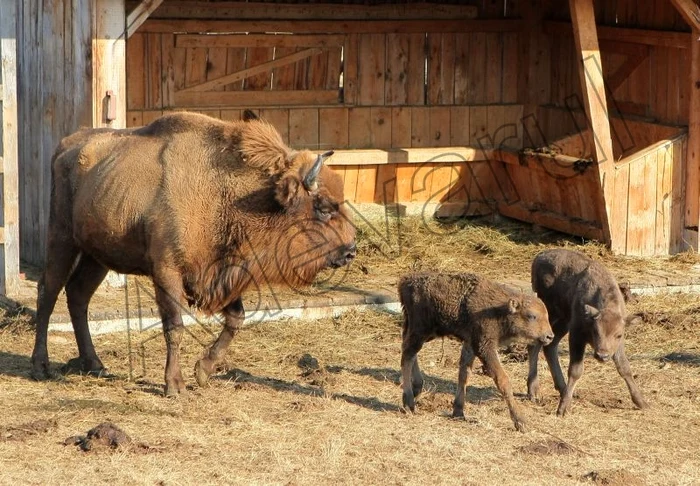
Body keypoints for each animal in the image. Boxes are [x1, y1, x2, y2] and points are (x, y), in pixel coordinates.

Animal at [28, 110, 356, 394]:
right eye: (323, 207)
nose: (351, 250)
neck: (228, 194)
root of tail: (67, 145)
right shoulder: (167, 272)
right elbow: (175, 326)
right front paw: (175, 385)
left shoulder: (221, 271)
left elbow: (236, 318)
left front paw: (203, 371)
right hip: (62, 239)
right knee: (48, 292)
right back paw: (41, 366)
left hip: (98, 256)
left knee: (78, 295)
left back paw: (95, 364)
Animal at [400, 274, 552, 432]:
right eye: (532, 316)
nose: (550, 336)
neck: (499, 310)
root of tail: (405, 281)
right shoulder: (484, 347)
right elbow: (502, 380)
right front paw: (521, 422)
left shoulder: (470, 344)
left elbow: (464, 374)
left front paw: (459, 412)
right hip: (421, 330)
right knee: (407, 355)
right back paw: (409, 402)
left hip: (422, 331)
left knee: (408, 349)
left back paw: (417, 387)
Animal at [528, 249, 648, 416]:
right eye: (595, 331)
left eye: (618, 335)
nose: (602, 356)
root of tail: (540, 256)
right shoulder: (577, 335)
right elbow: (575, 370)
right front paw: (563, 409)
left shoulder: (617, 344)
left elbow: (624, 368)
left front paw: (641, 402)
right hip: (550, 315)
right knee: (536, 344)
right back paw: (533, 391)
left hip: (563, 321)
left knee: (550, 346)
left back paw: (561, 388)